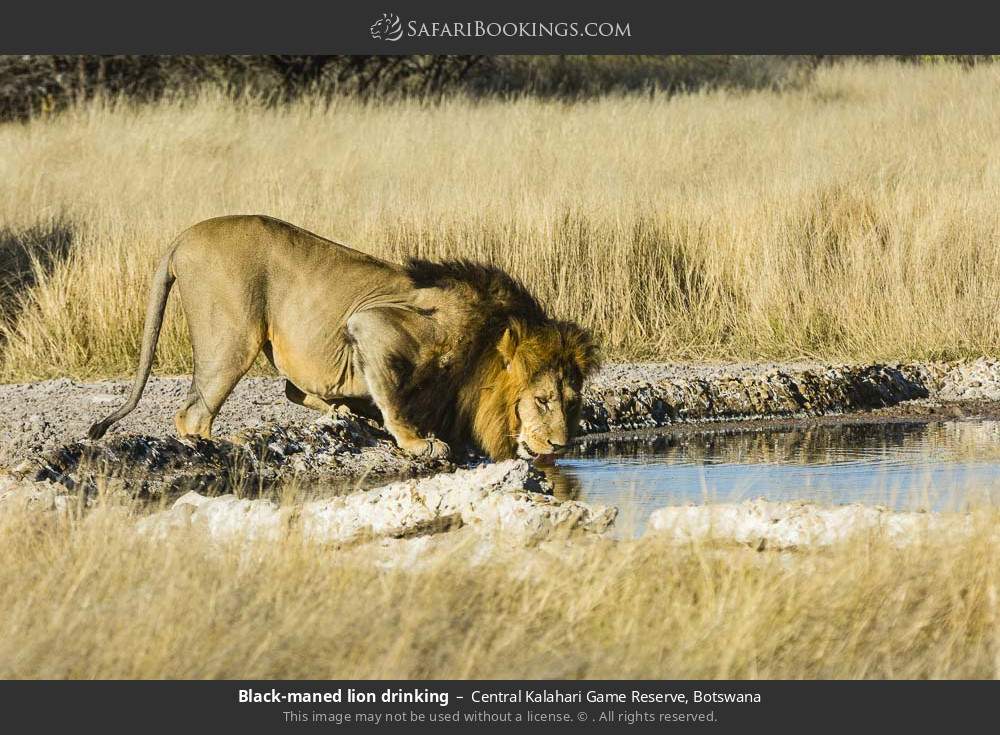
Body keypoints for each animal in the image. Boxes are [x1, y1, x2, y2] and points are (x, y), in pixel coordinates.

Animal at [88, 216, 592, 462]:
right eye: (542, 400)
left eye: (572, 404)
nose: (561, 447)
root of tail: (183, 238)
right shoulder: (373, 324)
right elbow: (395, 400)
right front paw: (418, 443)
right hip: (232, 337)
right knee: (192, 413)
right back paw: (220, 445)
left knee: (292, 389)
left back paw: (341, 410)